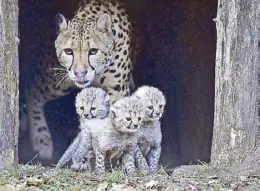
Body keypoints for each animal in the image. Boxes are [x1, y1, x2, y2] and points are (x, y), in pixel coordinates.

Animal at [23, 0, 139, 160]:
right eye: (68, 51)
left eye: (93, 51)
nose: (80, 73)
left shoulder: (117, 91)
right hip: (60, 83)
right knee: (32, 91)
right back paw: (41, 138)